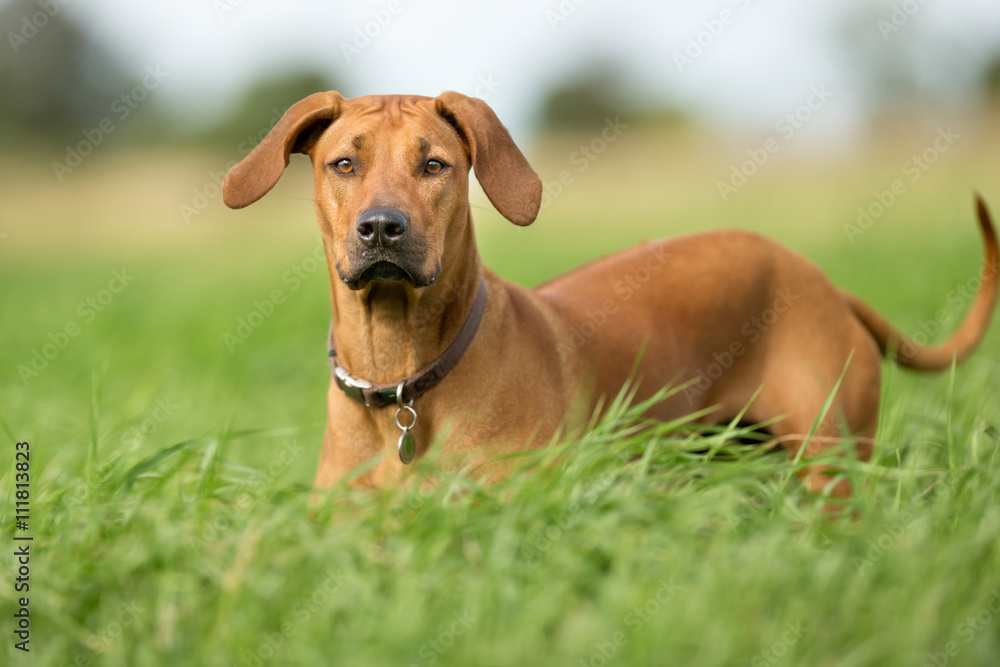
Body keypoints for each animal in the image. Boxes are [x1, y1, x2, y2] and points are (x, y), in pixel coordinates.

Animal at [221, 91, 1000, 498]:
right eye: (343, 164)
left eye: (434, 165)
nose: (383, 227)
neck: (402, 375)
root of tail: (822, 281)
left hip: (829, 460)